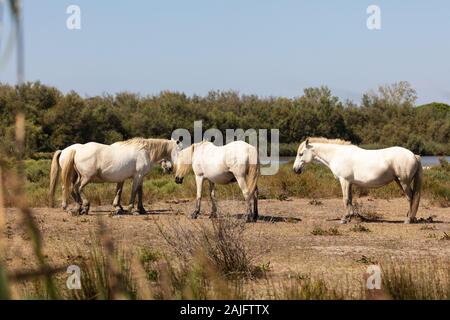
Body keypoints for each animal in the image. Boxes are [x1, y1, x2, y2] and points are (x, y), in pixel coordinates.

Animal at [292, 136, 422, 224]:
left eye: (301, 154)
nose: (295, 170)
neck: (337, 154)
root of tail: (414, 155)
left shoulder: (344, 181)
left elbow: (345, 199)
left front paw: (344, 218)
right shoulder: (349, 182)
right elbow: (350, 199)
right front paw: (351, 216)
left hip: (404, 182)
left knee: (411, 197)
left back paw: (408, 219)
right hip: (399, 181)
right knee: (411, 197)